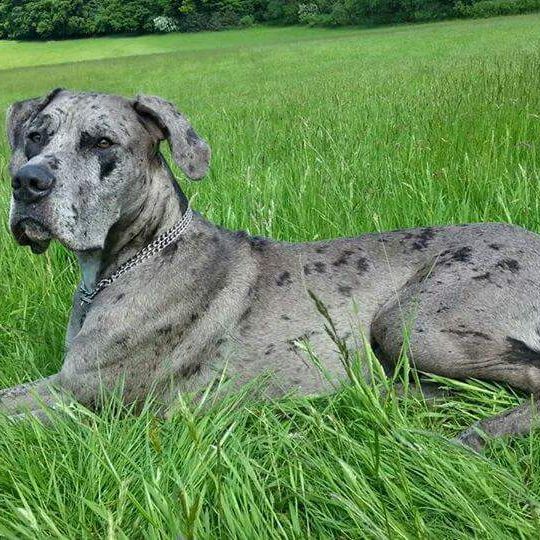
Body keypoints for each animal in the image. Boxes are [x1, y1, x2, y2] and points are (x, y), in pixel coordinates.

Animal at [2, 89, 536, 452]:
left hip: (410, 324)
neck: (136, 255)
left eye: (101, 142)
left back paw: (479, 435)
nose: (27, 182)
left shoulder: (79, 392)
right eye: (35, 136)